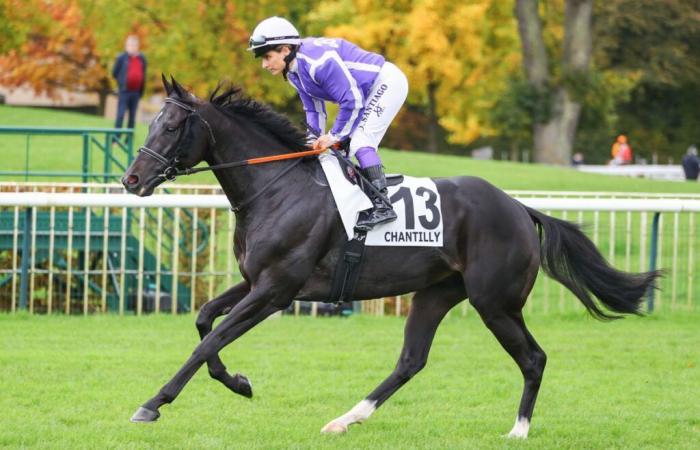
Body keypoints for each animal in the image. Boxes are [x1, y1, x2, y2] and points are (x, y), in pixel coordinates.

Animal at [121, 76, 660, 436]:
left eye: (171, 125)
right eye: (153, 123)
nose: (131, 179)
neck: (276, 187)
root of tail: (519, 208)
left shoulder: (276, 290)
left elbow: (207, 342)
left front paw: (153, 403)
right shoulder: (255, 282)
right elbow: (204, 322)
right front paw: (239, 382)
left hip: (494, 301)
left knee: (533, 357)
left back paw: (518, 430)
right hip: (436, 294)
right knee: (411, 361)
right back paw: (345, 419)